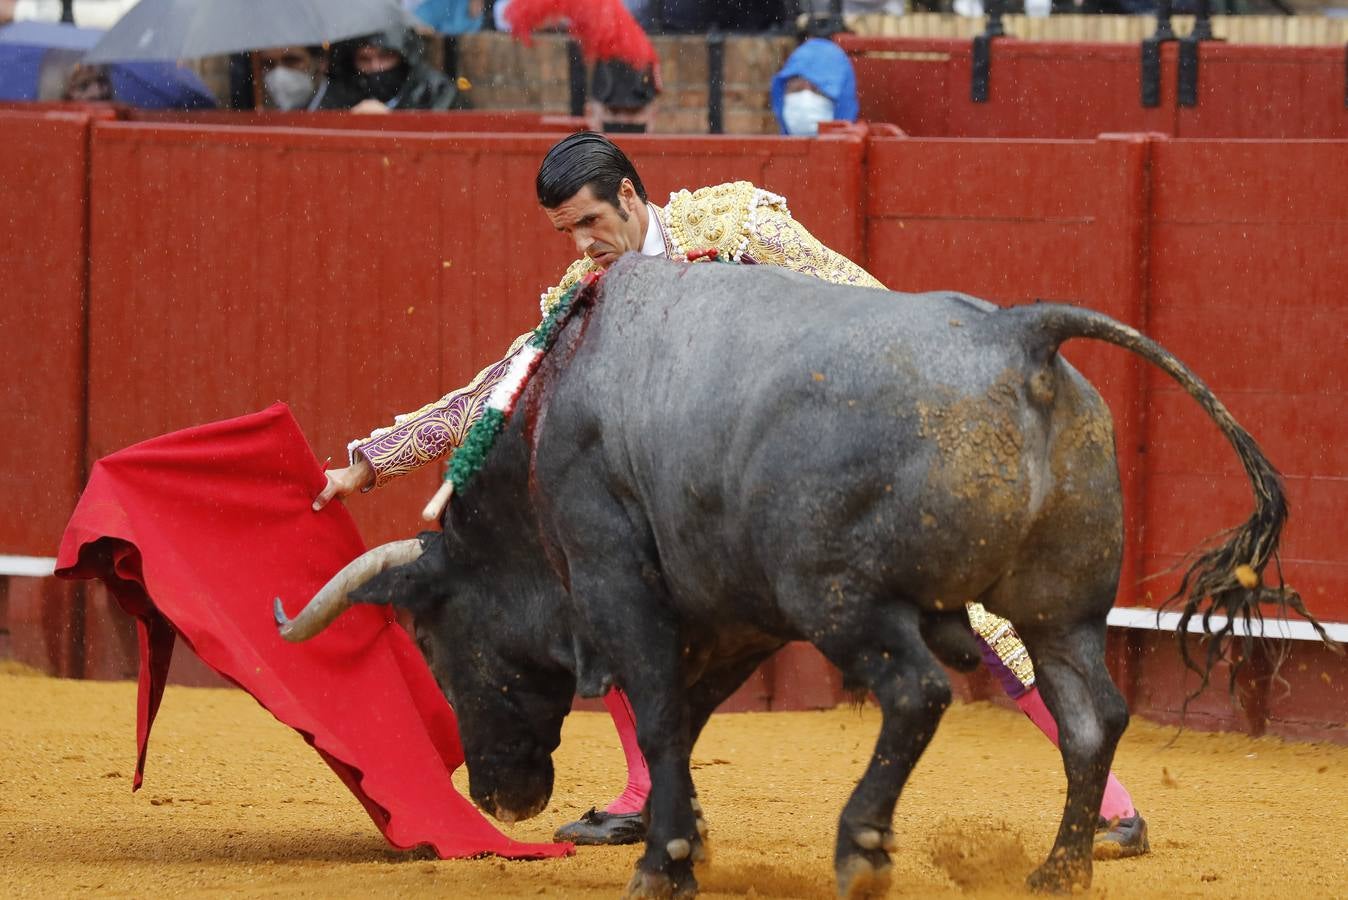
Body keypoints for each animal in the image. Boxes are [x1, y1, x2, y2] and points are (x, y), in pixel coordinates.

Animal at [270, 255, 1315, 894]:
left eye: (431, 637)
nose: (499, 800)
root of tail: (1020, 337)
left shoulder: (619, 582)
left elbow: (659, 713)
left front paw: (663, 863)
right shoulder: (736, 612)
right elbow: (686, 719)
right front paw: (680, 845)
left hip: (845, 599)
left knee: (919, 693)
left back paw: (862, 847)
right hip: (1062, 610)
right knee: (1089, 715)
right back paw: (1060, 869)